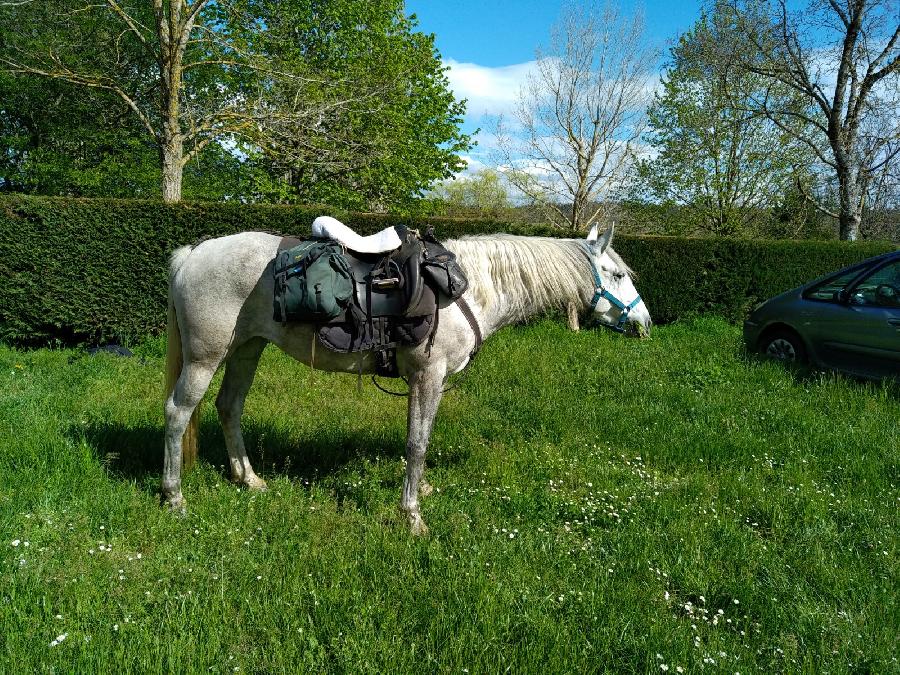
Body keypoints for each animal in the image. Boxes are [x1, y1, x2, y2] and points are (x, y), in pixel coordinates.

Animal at [163, 224, 648, 536]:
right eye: (618, 275)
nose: (644, 322)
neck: (470, 290)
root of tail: (194, 253)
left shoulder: (427, 381)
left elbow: (421, 438)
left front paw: (421, 493)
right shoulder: (427, 377)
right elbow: (417, 444)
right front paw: (412, 516)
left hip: (247, 348)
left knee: (229, 407)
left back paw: (248, 479)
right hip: (205, 357)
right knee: (177, 413)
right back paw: (174, 498)